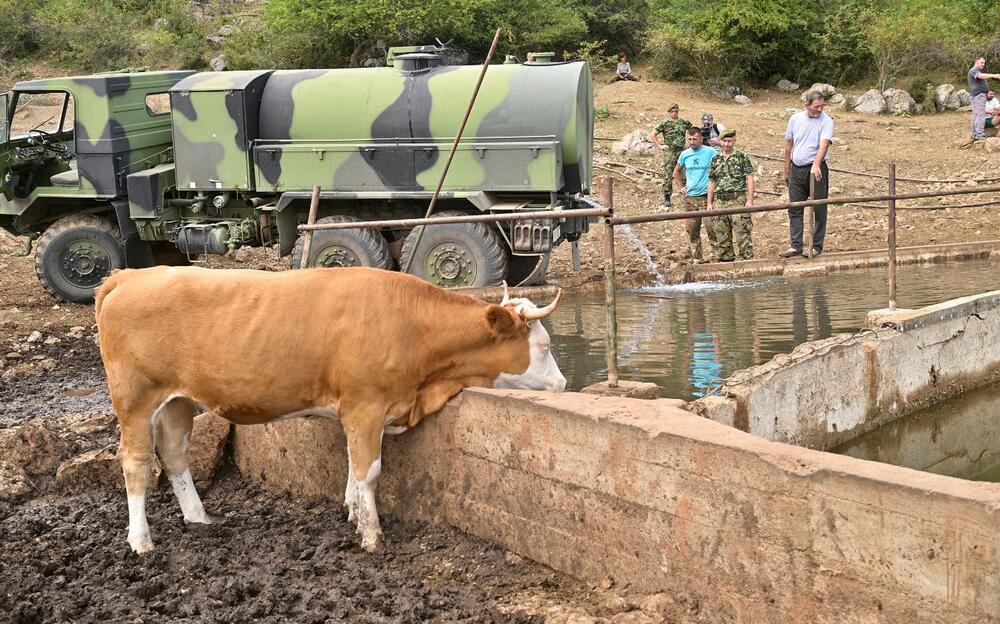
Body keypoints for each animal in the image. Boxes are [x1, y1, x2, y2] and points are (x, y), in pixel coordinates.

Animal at [94, 266, 568, 552]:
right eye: (544, 346)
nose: (564, 385)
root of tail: (131, 275)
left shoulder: (356, 410)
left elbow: (352, 469)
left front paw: (354, 514)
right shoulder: (366, 404)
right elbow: (368, 470)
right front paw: (372, 534)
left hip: (177, 401)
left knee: (174, 455)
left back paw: (199, 519)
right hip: (135, 400)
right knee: (136, 463)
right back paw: (141, 540)